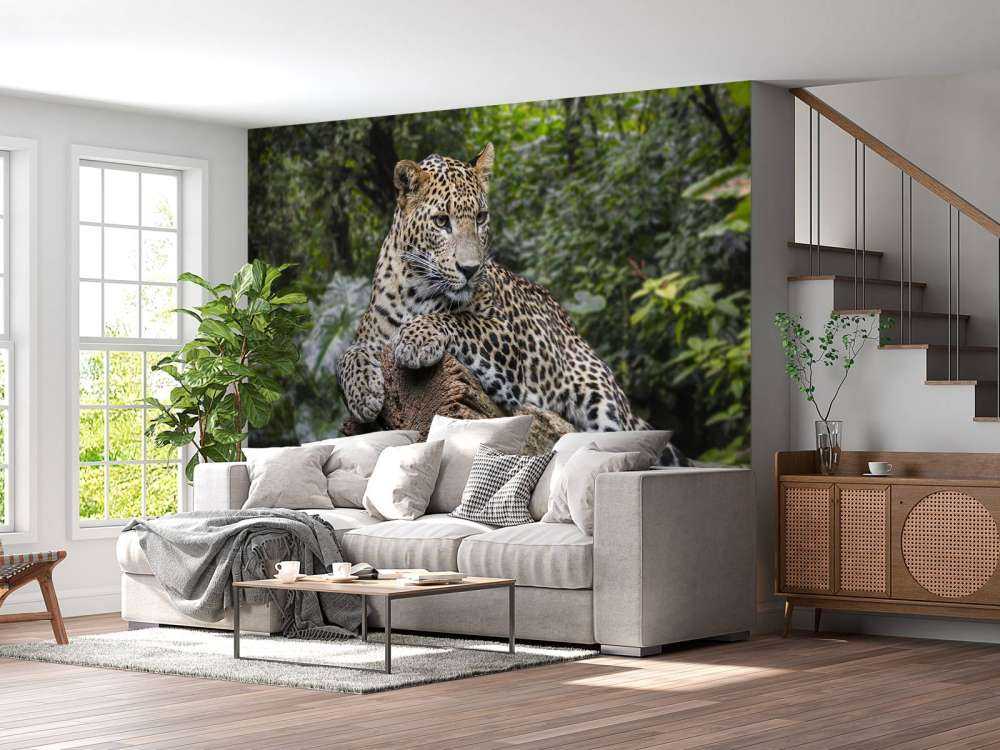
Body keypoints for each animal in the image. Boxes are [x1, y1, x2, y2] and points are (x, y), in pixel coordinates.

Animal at [337, 142, 649, 434]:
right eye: (441, 221)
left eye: (481, 217)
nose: (470, 269)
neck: (418, 287)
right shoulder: (371, 336)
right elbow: (347, 355)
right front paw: (363, 392)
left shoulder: (505, 335)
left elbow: (458, 319)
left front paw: (416, 339)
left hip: (601, 399)